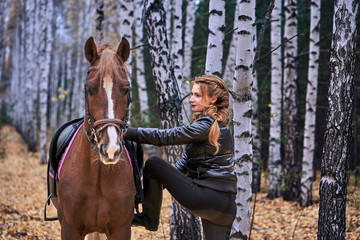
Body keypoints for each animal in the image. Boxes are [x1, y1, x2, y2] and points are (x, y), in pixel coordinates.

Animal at [50, 36, 135, 239]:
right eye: (89, 89)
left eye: (126, 89)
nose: (111, 149)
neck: (98, 174)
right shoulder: (70, 228)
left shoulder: (121, 229)